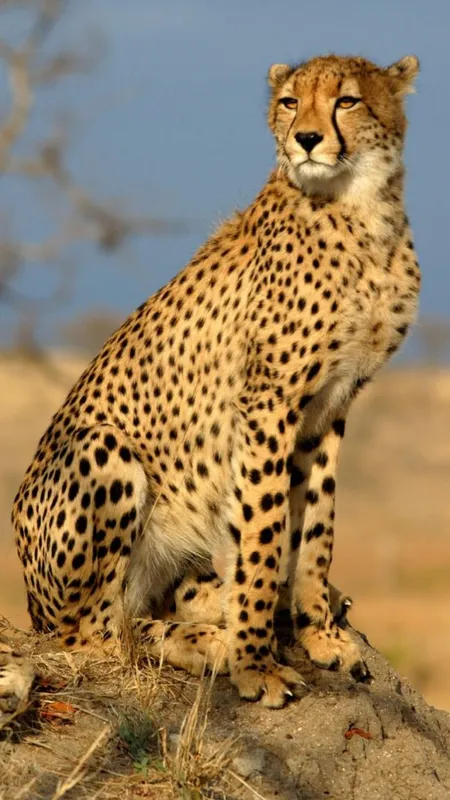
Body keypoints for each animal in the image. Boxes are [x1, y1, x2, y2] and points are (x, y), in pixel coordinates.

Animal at [7, 53, 421, 709]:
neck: (362, 210)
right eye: (288, 101)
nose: (306, 139)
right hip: (103, 450)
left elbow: (316, 526)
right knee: (101, 635)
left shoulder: (330, 404)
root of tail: (30, 602)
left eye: (347, 100)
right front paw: (256, 664)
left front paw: (320, 633)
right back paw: (210, 642)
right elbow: (264, 530)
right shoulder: (268, 401)